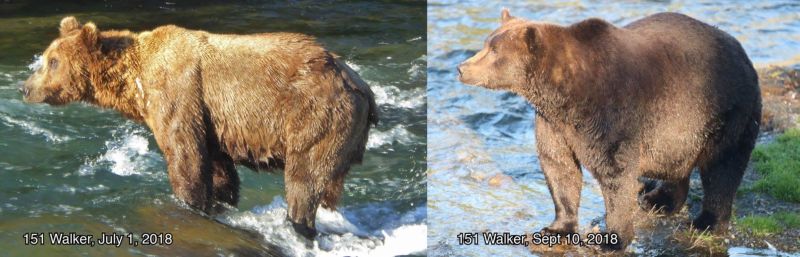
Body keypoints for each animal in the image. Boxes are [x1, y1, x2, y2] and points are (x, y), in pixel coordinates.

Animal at [21, 16, 378, 237]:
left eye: (52, 61)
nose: (25, 87)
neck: (135, 83)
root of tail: (362, 87)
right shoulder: (211, 123)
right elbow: (219, 169)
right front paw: (219, 201)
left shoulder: (179, 93)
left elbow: (185, 156)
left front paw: (188, 203)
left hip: (317, 117)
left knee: (305, 178)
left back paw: (298, 222)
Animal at [460, 10, 760, 250]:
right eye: (487, 43)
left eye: (494, 50)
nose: (462, 68)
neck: (562, 94)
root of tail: (741, 49)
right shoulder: (553, 124)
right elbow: (559, 168)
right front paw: (553, 229)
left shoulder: (612, 114)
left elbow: (615, 174)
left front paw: (610, 239)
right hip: (680, 127)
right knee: (678, 162)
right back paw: (659, 199)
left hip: (723, 109)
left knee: (722, 168)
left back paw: (706, 221)